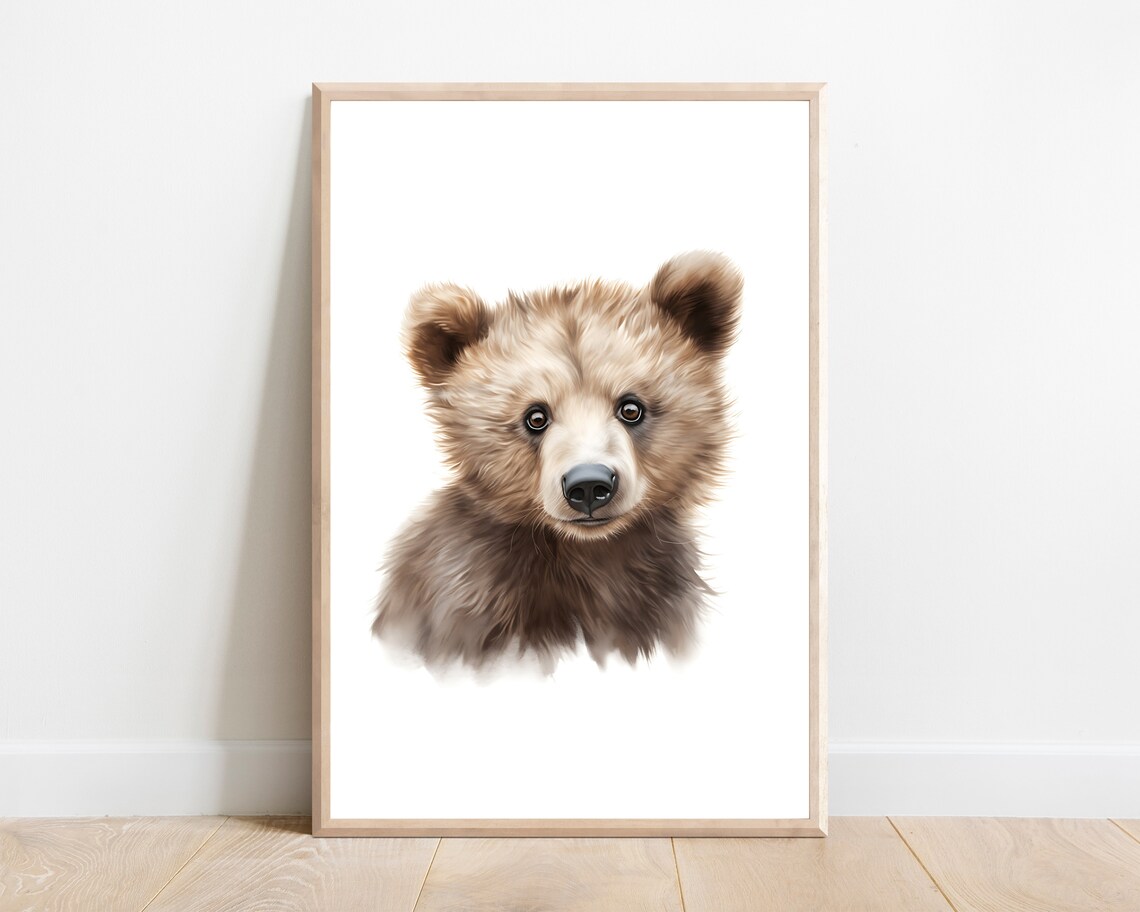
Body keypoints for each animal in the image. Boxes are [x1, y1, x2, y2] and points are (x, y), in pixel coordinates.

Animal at [372, 251, 743, 669]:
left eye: (631, 407)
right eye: (535, 416)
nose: (590, 486)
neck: (587, 555)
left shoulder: (659, 597)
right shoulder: (469, 600)